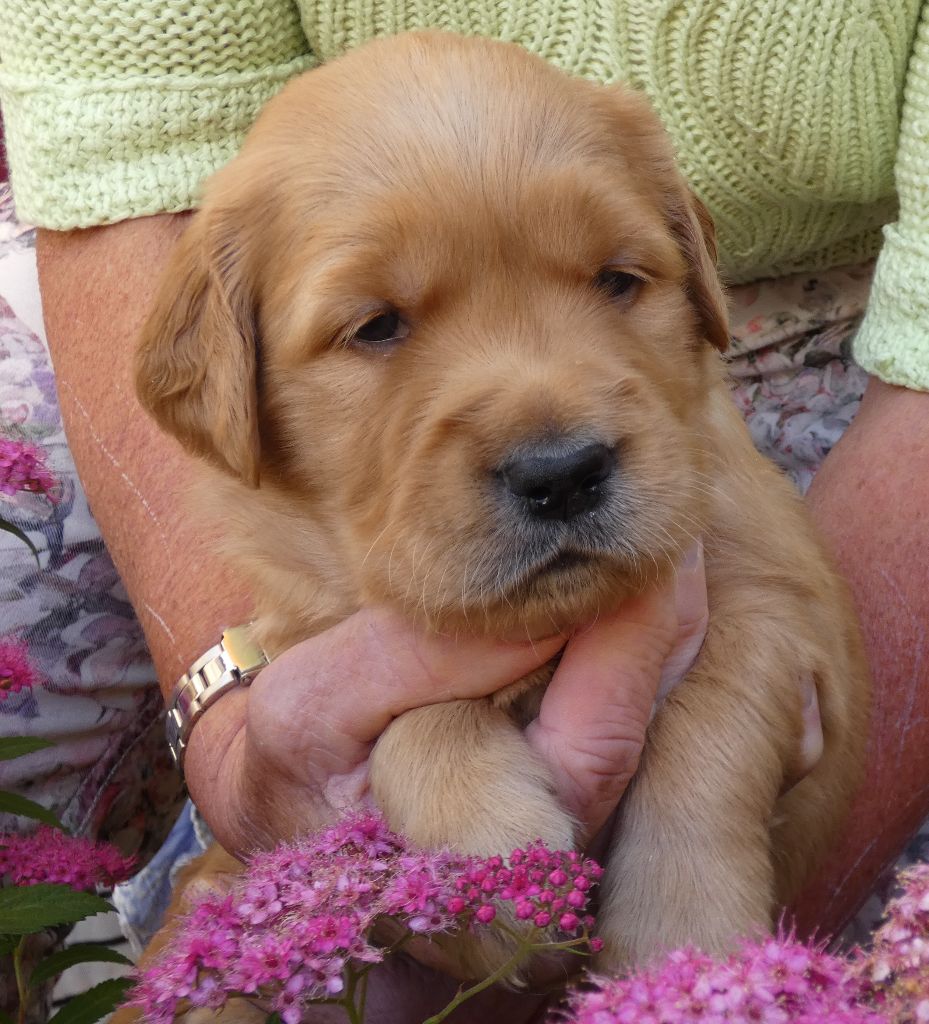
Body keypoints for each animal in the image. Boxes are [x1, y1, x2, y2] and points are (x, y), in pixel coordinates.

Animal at [130, 29, 869, 991]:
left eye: (616, 280)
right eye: (376, 326)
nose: (563, 474)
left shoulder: (777, 602)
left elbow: (710, 730)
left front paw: (681, 946)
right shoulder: (334, 644)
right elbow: (414, 710)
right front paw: (489, 851)